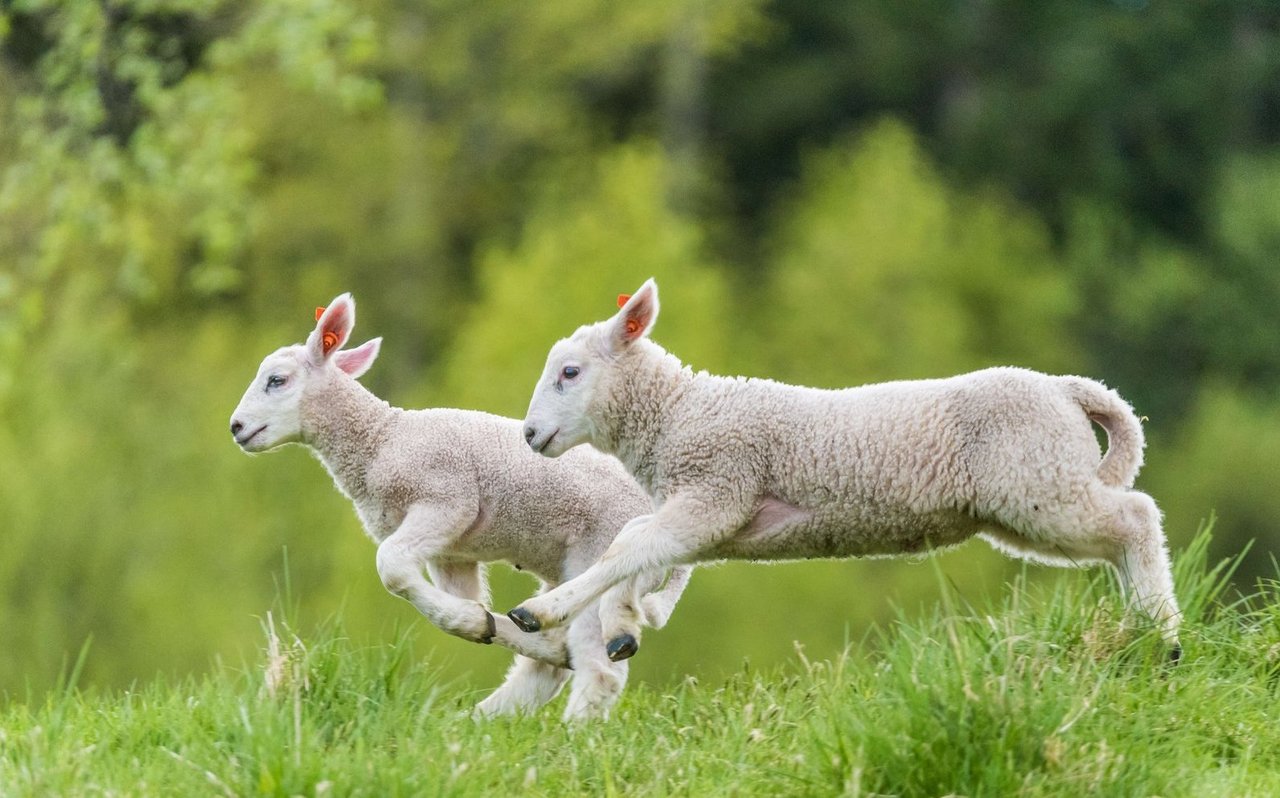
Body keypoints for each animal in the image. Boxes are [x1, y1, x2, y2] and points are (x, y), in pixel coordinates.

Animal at [230, 294, 691, 722]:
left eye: (276, 380)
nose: (236, 427)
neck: (380, 440)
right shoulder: (451, 553)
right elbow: (450, 597)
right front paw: (477, 621)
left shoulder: (447, 499)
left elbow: (391, 567)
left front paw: (473, 621)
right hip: (567, 568)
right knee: (551, 661)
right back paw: (486, 713)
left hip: (600, 554)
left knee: (599, 669)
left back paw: (571, 731)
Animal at [506, 277, 1177, 666]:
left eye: (569, 372)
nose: (530, 436)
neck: (678, 412)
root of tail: (1068, 389)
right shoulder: (713, 516)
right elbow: (639, 550)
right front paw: (622, 627)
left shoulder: (717, 487)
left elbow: (627, 547)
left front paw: (541, 611)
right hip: (1028, 498)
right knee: (1118, 536)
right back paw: (1142, 633)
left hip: (1037, 482)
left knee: (1137, 518)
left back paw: (1165, 638)